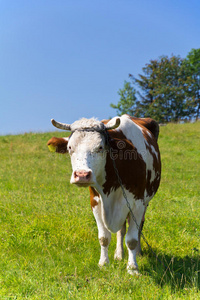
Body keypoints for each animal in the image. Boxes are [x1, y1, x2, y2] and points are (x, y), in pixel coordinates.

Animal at [47, 114, 162, 274]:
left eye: (100, 147)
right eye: (70, 148)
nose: (82, 175)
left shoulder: (137, 203)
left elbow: (132, 239)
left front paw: (132, 268)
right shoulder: (96, 202)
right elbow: (104, 237)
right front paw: (103, 263)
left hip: (145, 202)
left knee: (138, 227)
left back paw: (137, 253)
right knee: (121, 230)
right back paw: (119, 255)